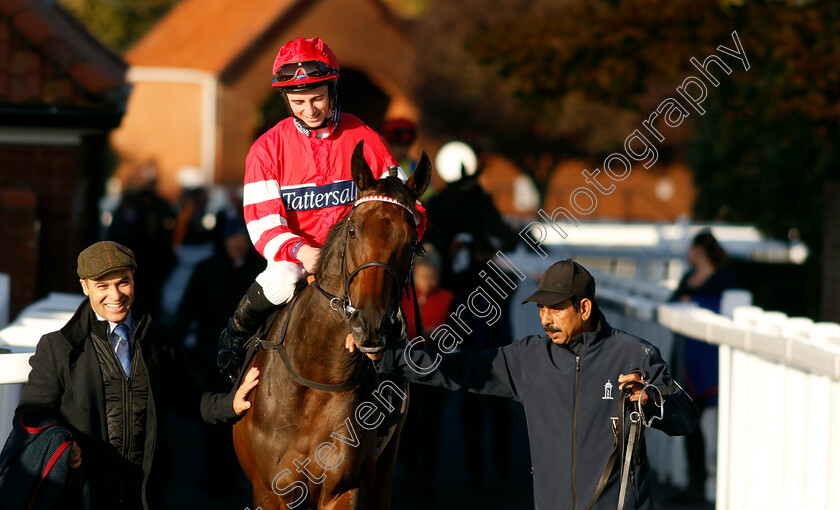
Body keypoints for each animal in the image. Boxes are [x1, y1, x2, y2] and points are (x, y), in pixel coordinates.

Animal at [233, 140, 434, 510]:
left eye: (412, 241)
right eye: (353, 228)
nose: (370, 322)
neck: (317, 378)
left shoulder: (346, 489)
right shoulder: (272, 491)